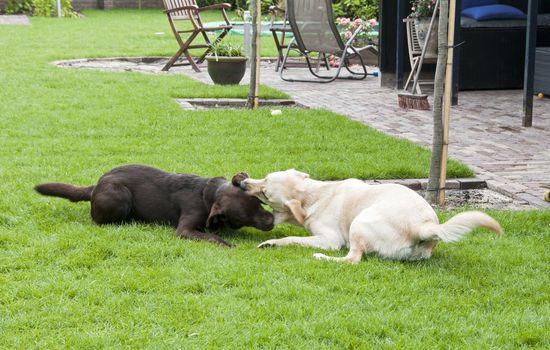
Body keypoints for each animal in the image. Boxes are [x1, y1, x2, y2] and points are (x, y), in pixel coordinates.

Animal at [35, 165, 274, 245]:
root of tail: (96, 185)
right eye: (243, 215)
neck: (209, 194)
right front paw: (226, 242)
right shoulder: (184, 230)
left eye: (258, 201)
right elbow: (213, 238)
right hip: (120, 194)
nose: (272, 220)